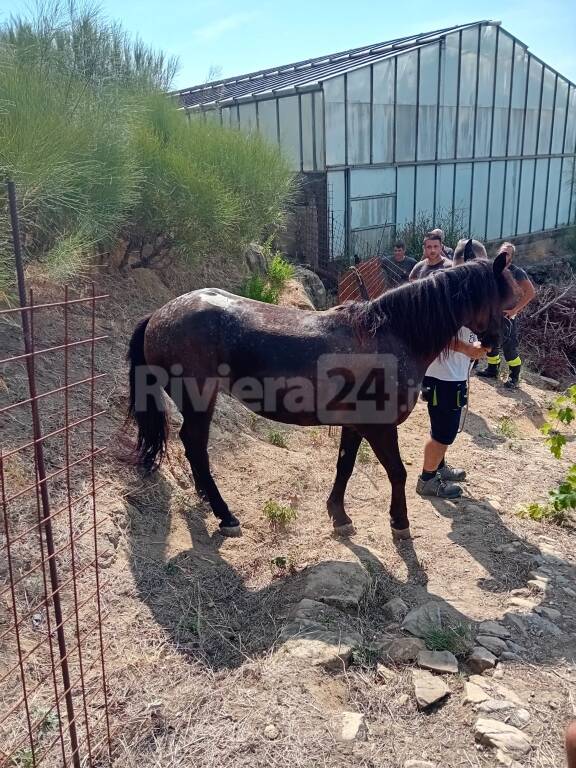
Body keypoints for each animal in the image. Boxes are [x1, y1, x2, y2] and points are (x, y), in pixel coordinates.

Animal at [128, 255, 516, 536]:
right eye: (500, 298)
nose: (495, 343)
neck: (393, 334)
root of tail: (158, 314)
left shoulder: (356, 425)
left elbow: (344, 466)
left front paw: (339, 516)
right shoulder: (380, 428)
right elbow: (397, 473)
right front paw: (400, 523)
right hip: (199, 402)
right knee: (196, 446)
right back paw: (225, 515)